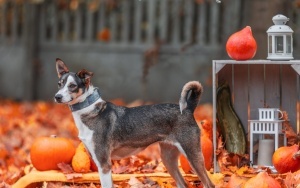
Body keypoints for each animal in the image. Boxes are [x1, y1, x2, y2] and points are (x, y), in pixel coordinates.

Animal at [53, 58, 213, 187]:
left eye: (72, 86)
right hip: (168, 157)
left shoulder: (104, 164)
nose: (57, 97)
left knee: (209, 184)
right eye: (59, 84)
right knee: (183, 183)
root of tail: (187, 109)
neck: (89, 110)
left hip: (192, 154)